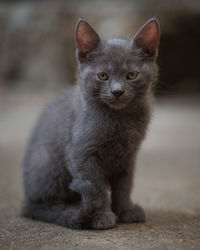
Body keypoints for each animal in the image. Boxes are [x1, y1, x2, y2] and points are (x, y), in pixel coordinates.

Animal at [22, 17, 159, 229]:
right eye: (103, 76)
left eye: (131, 75)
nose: (117, 91)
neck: (120, 119)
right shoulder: (81, 153)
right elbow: (95, 187)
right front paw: (102, 216)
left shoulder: (129, 155)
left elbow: (124, 185)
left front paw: (126, 210)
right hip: (45, 160)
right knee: (39, 205)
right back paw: (68, 211)